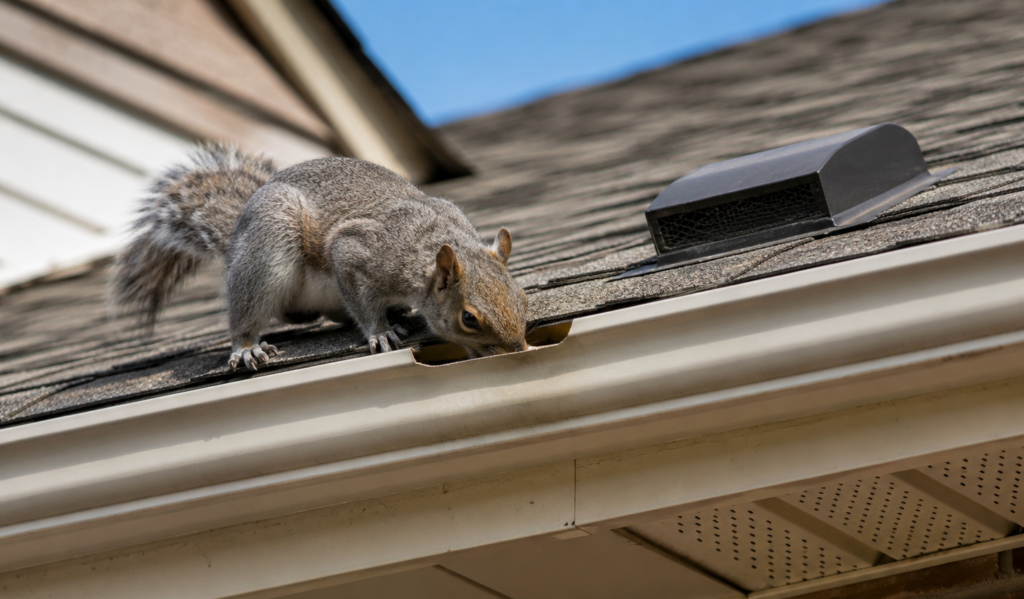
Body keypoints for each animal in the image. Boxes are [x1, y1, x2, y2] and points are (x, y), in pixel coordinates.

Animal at [109, 145, 529, 370]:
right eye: (469, 318)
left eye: (523, 299)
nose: (518, 350)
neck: (430, 245)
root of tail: (234, 240)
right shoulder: (356, 251)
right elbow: (362, 300)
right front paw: (381, 332)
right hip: (266, 250)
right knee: (247, 311)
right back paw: (246, 347)